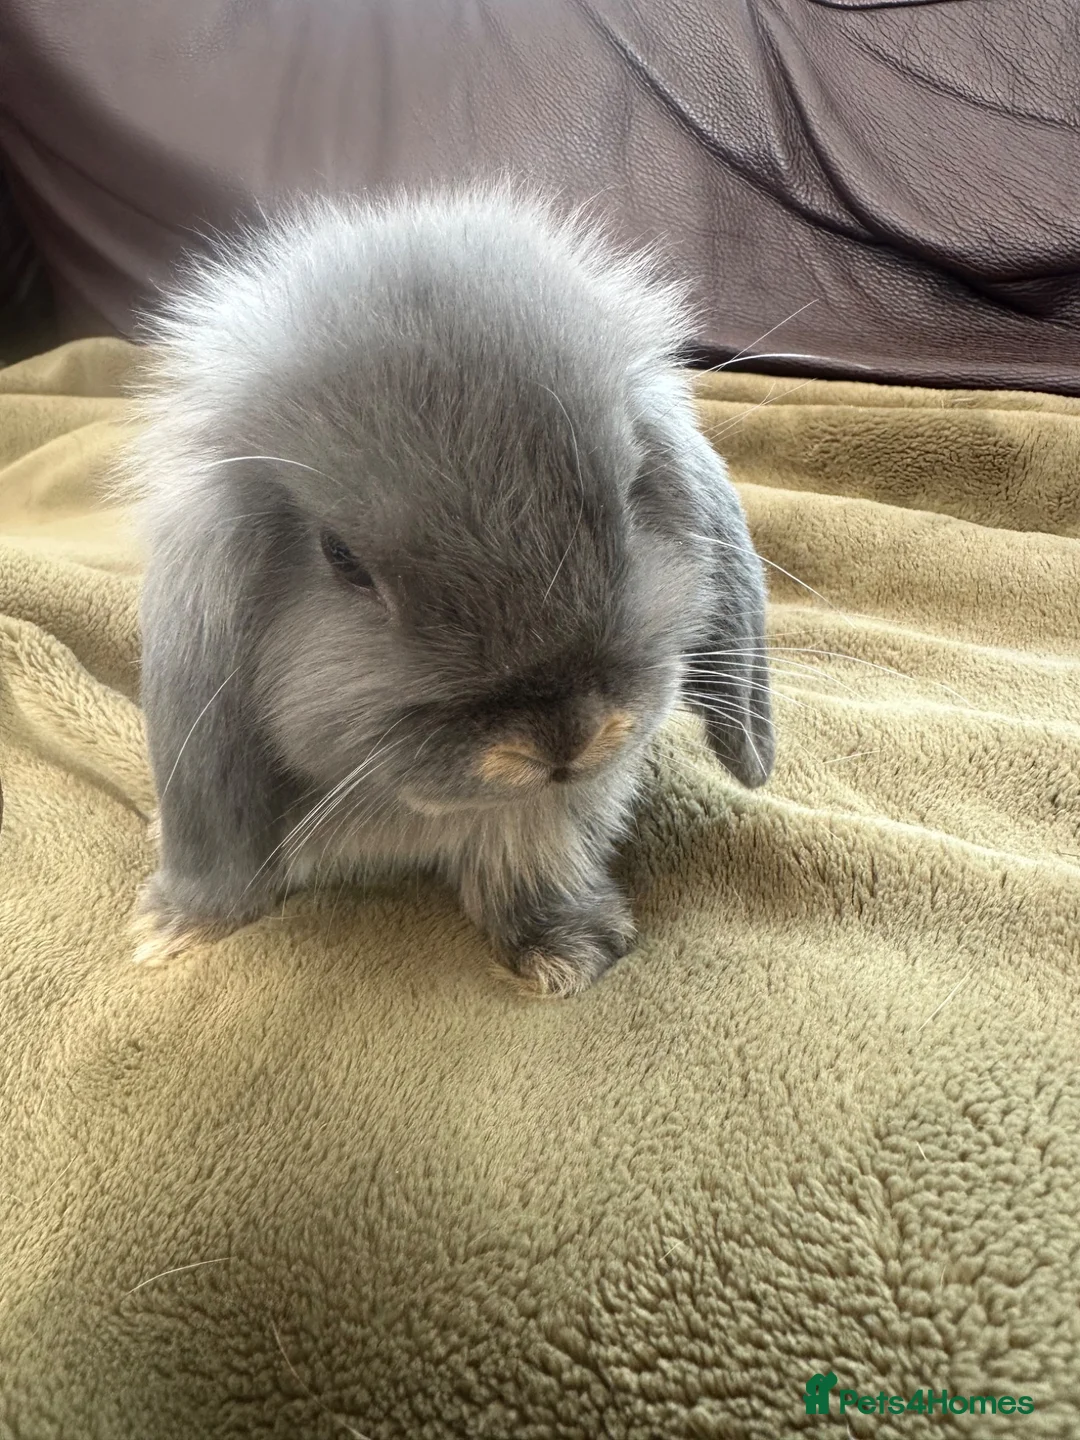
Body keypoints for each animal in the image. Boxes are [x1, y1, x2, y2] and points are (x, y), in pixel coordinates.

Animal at [125, 184, 774, 997]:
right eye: (342, 558)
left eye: (630, 495)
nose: (562, 742)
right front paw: (173, 931)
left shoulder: (545, 818)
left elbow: (531, 860)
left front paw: (569, 955)